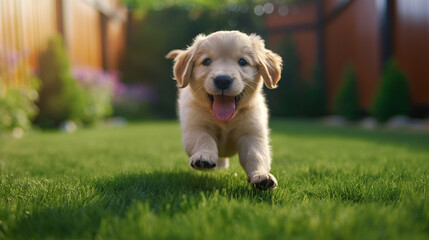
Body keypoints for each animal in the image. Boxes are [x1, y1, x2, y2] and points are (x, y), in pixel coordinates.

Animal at [166, 31, 280, 190]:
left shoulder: (251, 133)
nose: (223, 80)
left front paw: (261, 175)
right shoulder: (195, 127)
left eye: (243, 62)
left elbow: (255, 154)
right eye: (206, 61)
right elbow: (204, 138)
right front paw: (204, 156)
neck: (226, 120)